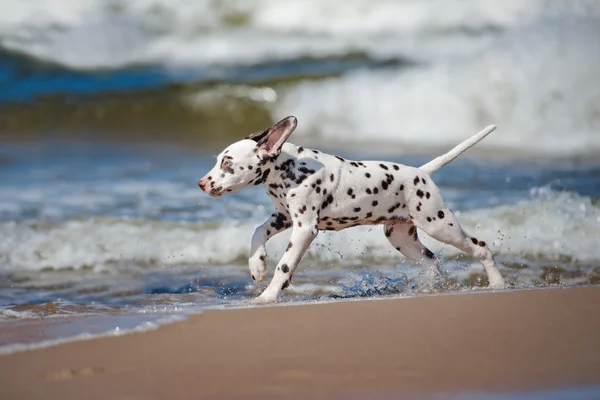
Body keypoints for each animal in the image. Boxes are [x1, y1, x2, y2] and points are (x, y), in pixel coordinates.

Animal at [199, 117, 504, 302]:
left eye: (227, 163)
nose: (201, 183)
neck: (289, 167)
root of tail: (421, 172)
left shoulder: (304, 228)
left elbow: (284, 265)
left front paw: (268, 296)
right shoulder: (283, 217)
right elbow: (257, 232)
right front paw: (257, 265)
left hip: (439, 224)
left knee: (480, 247)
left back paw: (498, 283)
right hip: (400, 237)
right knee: (431, 261)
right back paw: (428, 288)